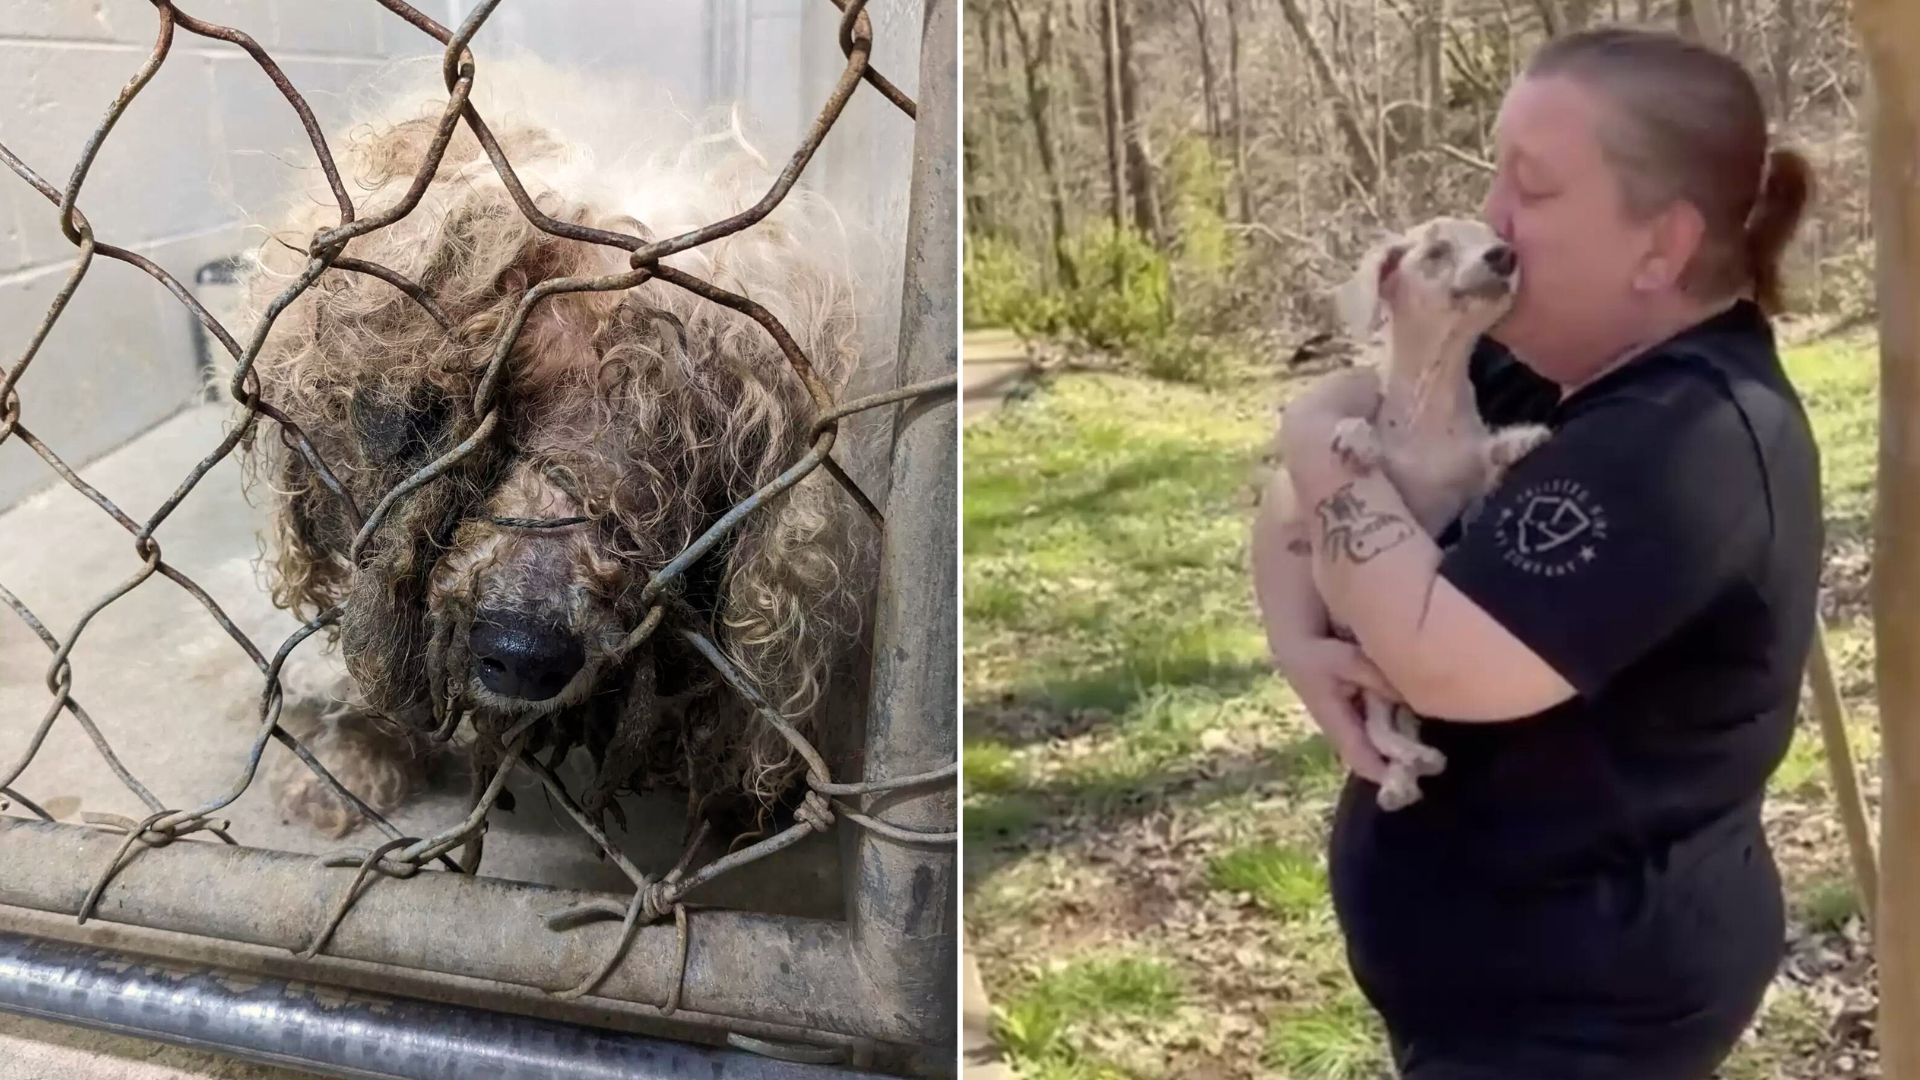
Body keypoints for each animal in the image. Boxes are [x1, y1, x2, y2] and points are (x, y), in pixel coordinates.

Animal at [1282, 216, 1551, 807]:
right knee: (1383, 728)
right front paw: (1356, 438)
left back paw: (1410, 768)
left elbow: (1485, 472)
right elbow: (1370, 446)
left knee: (1396, 727)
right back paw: (1402, 775)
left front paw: (1517, 443)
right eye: (1436, 251)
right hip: (1370, 670)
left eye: (1492, 236)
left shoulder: (1468, 487)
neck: (1434, 409)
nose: (1506, 255)